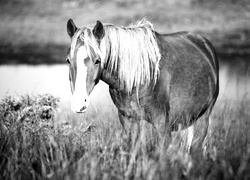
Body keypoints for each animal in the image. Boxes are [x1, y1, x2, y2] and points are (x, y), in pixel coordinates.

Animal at [66, 18, 219, 152]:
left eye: (97, 60)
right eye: (68, 60)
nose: (79, 103)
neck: (138, 78)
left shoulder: (162, 126)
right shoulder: (128, 120)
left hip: (203, 118)